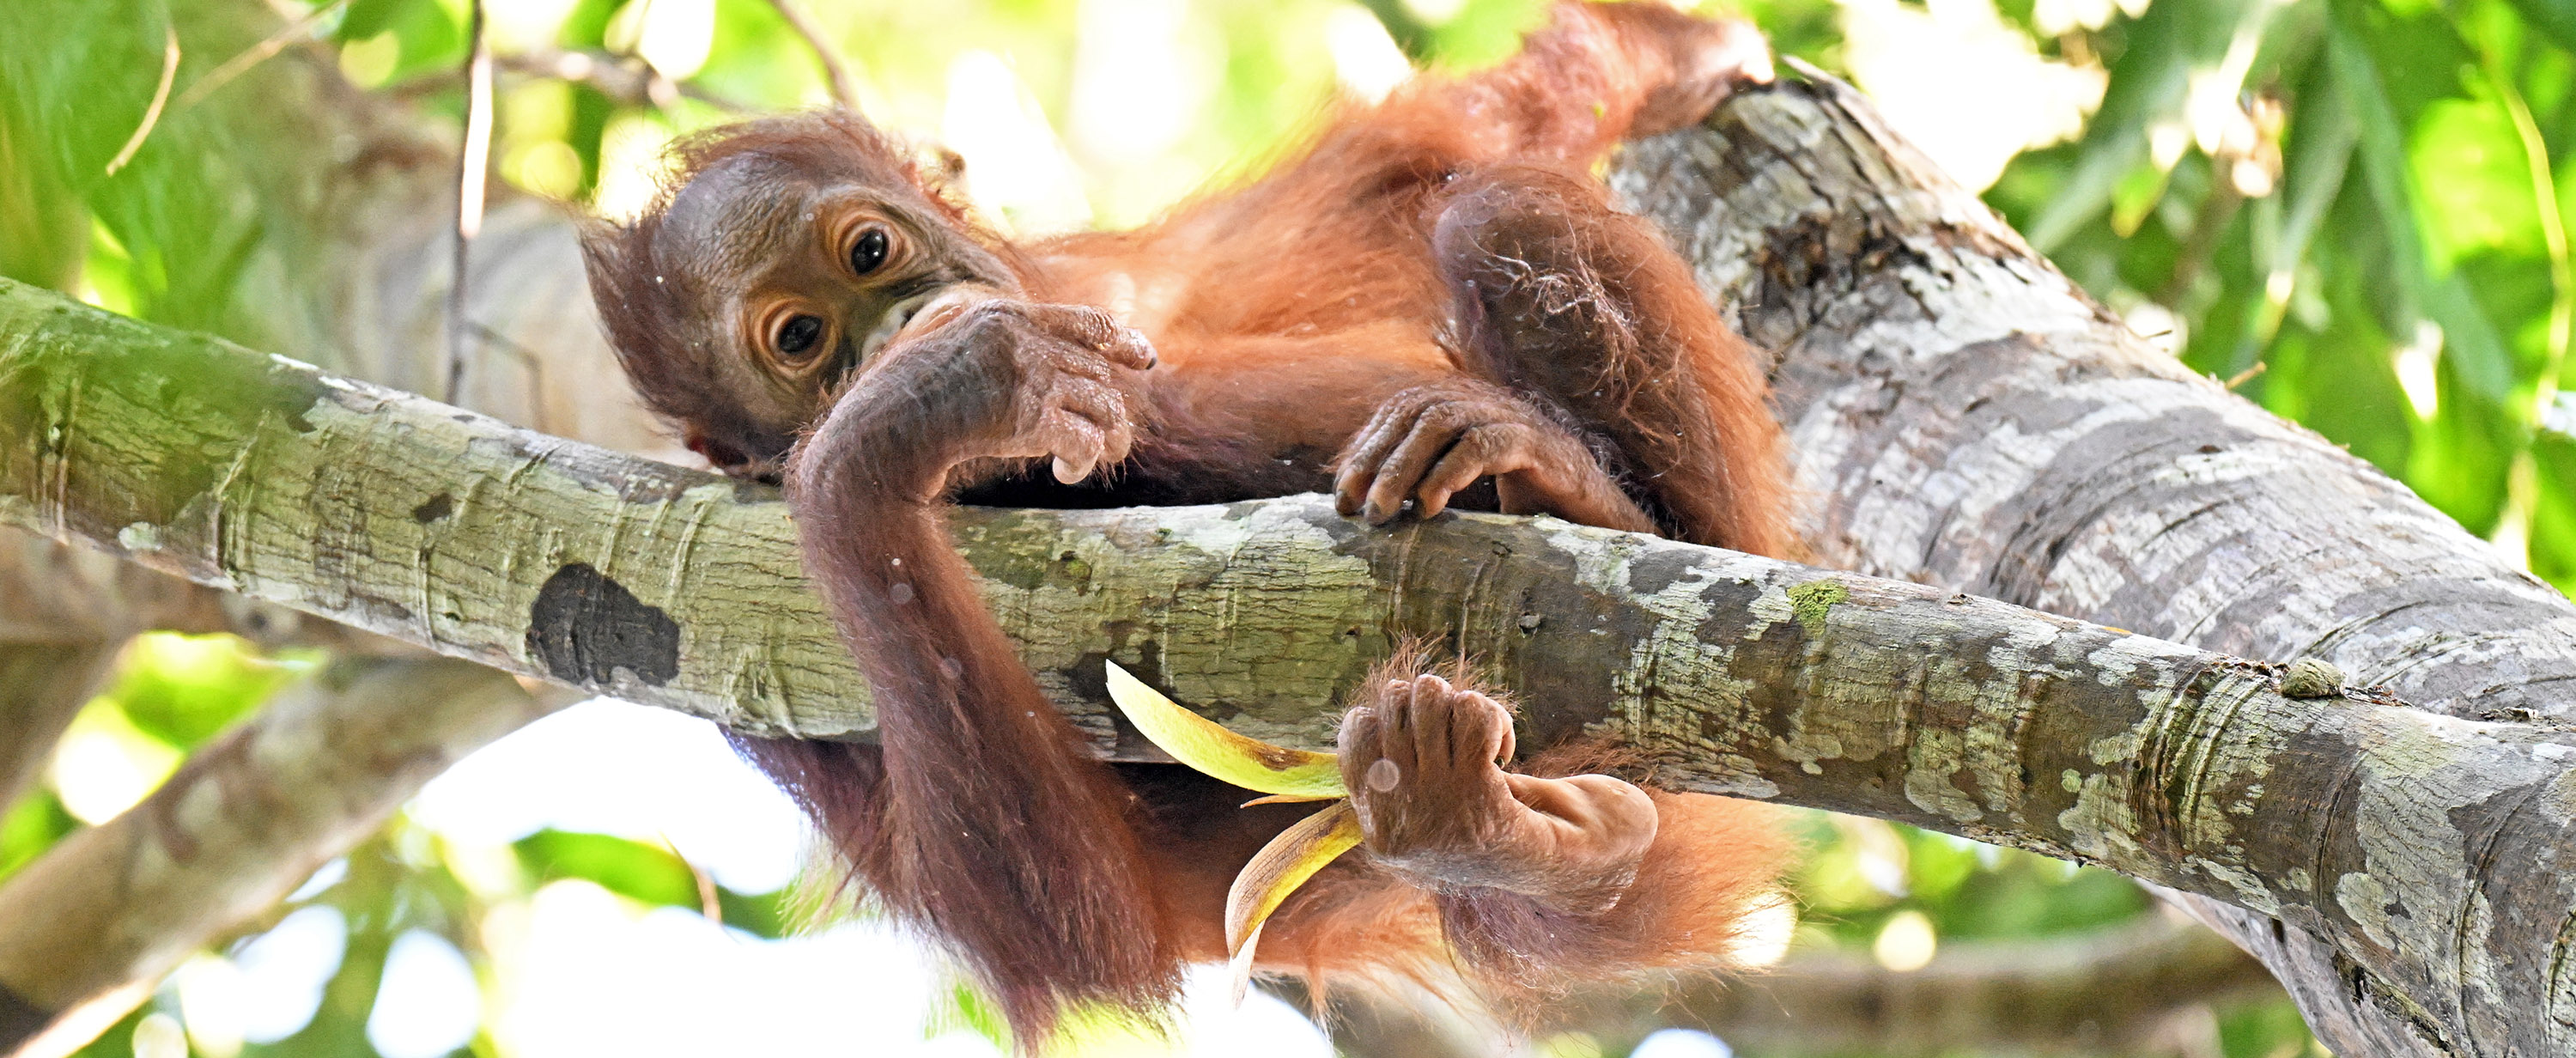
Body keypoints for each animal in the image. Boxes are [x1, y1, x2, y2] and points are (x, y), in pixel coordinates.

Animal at [582, 1, 1792, 1044]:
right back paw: (1506, 837)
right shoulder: (737, 640)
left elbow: (1413, 154)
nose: (907, 325)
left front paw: (1683, 54)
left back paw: (1559, 482)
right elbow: (1098, 920)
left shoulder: (1123, 271)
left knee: (1498, 212)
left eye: (870, 252)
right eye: (801, 340)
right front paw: (922, 405)